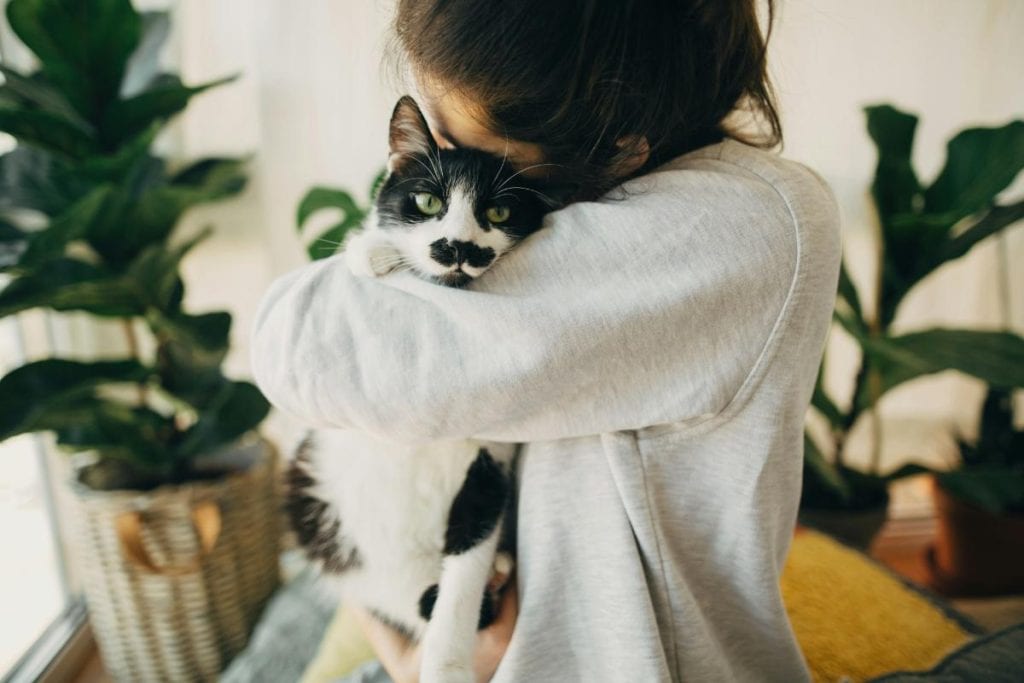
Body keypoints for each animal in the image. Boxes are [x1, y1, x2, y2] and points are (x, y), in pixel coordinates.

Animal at [284, 97, 565, 683]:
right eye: (428, 201)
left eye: (499, 214)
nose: (457, 246)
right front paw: (371, 250)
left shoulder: (489, 466)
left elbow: (462, 576)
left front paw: (447, 664)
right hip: (307, 495)